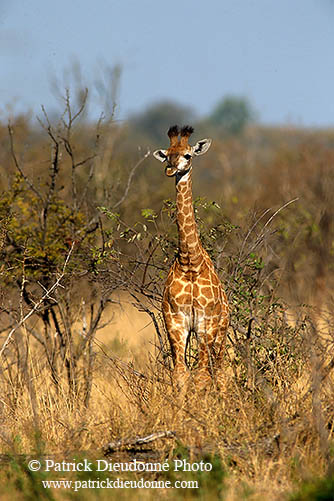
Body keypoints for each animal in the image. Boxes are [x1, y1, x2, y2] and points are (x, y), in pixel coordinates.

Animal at [154, 124, 230, 386]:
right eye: (167, 155)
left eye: (187, 155)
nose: (170, 169)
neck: (190, 263)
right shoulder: (176, 322)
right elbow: (180, 374)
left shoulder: (205, 324)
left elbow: (201, 376)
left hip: (221, 330)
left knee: (219, 371)